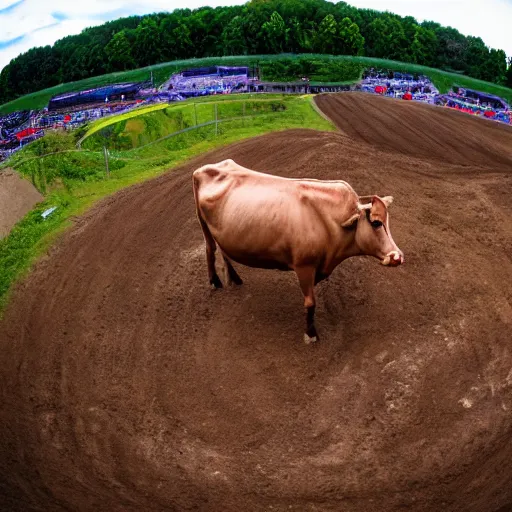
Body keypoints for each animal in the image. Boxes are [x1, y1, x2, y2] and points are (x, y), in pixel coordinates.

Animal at [193, 160, 404, 344]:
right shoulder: (304, 265)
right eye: (376, 222)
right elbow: (310, 302)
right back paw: (215, 282)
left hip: (224, 233)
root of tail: (206, 168)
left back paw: (235, 278)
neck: (328, 221)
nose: (397, 256)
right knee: (210, 249)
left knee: (224, 251)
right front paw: (310, 334)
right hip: (204, 226)